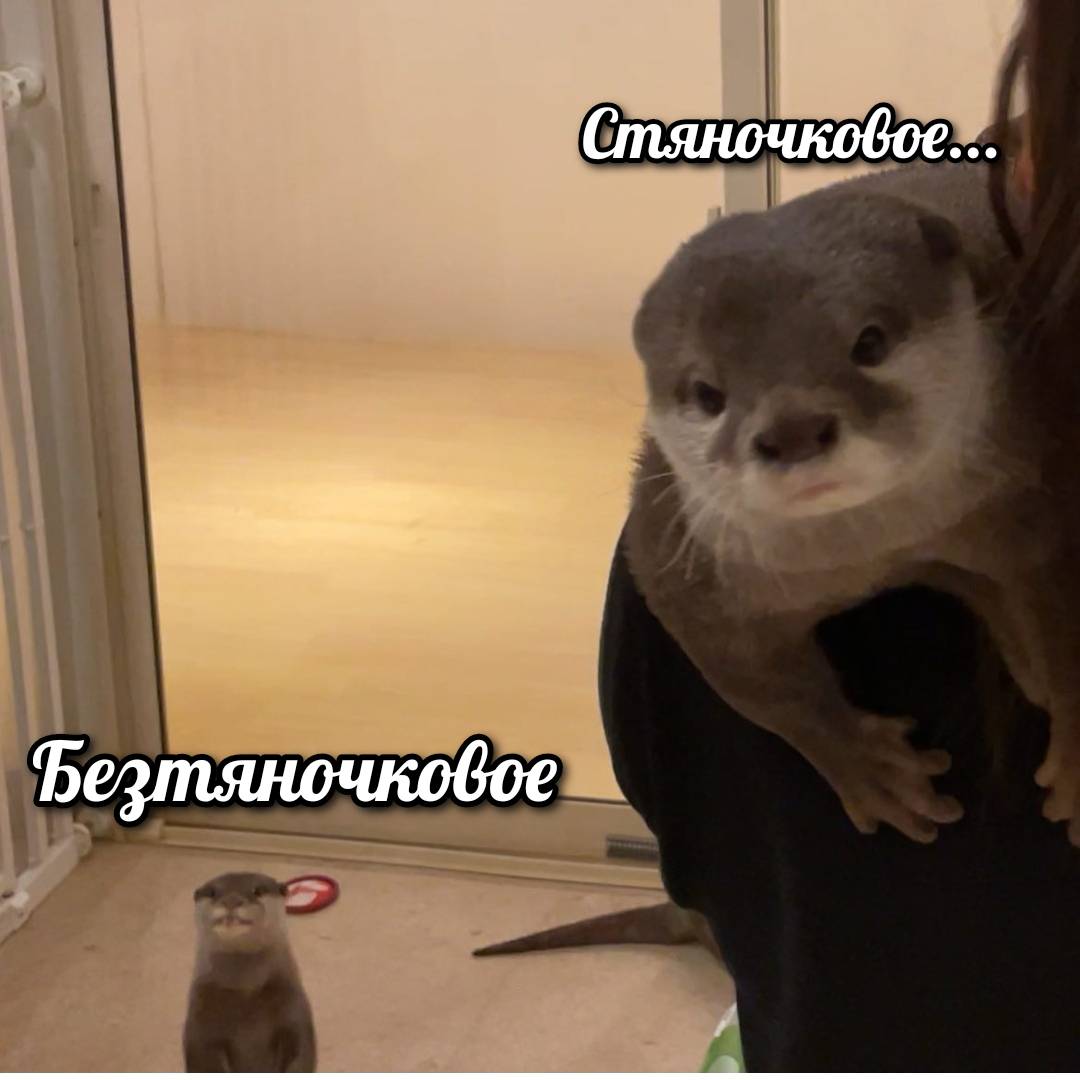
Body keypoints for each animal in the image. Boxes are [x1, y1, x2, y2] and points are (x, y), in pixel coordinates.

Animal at [183, 872, 316, 1072]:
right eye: (213, 892)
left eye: (258, 890)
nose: (231, 900)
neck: (244, 992)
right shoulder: (200, 1026)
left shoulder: (295, 1012)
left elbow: (301, 1055)